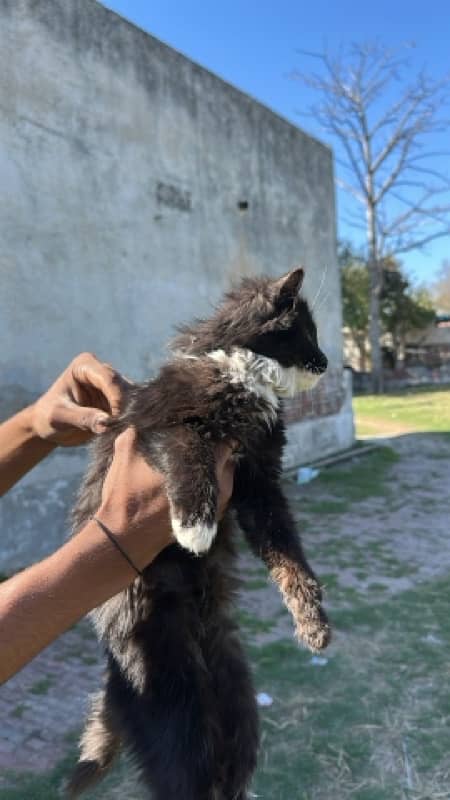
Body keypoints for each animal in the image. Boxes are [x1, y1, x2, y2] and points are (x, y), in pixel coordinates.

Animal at [68, 268, 330, 800]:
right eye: (307, 332)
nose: (329, 363)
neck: (244, 375)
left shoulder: (259, 483)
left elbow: (288, 555)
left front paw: (312, 619)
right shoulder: (157, 428)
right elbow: (189, 451)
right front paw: (194, 526)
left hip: (236, 708)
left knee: (229, 777)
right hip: (178, 719)